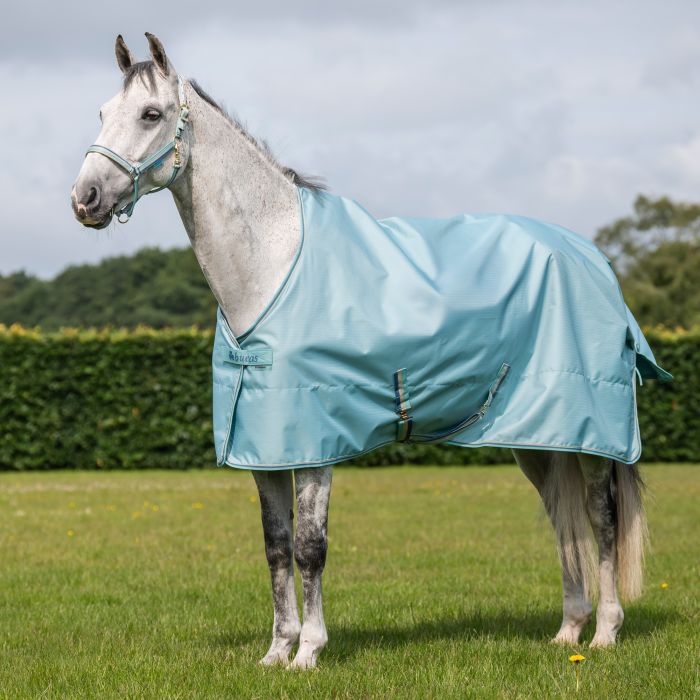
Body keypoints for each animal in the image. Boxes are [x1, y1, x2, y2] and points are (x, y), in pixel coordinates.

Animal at [71, 33, 659, 670]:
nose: (85, 198)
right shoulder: (266, 451)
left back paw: (604, 632)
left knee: (601, 519)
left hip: (592, 438)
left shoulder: (315, 446)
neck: (273, 267)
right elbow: (276, 546)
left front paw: (309, 652)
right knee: (562, 519)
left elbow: (310, 547)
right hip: (539, 438)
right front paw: (276, 652)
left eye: (150, 114)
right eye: (101, 112)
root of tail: (594, 260)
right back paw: (568, 631)